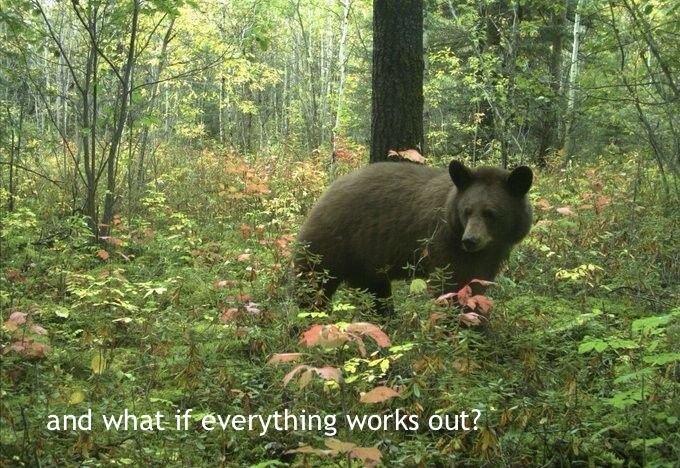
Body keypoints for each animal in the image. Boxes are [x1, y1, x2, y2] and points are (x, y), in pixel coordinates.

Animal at [294, 160, 533, 313]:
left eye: (490, 213)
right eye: (467, 211)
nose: (470, 240)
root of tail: (325, 195)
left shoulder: (491, 256)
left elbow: (478, 285)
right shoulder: (443, 245)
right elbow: (450, 285)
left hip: (366, 262)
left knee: (375, 292)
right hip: (330, 244)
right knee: (313, 284)